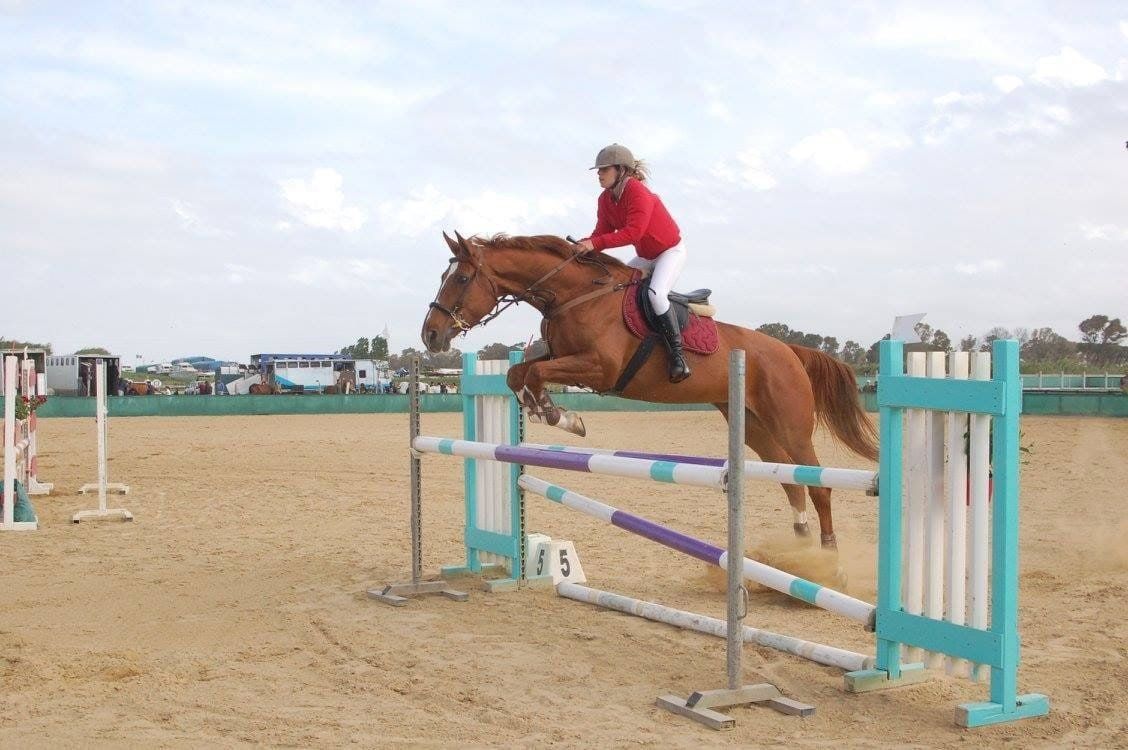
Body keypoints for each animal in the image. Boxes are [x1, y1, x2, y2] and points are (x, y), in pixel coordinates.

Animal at [420, 232, 878, 548]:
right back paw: (800, 550)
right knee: (791, 483)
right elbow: (519, 374)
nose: (431, 335)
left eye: (461, 278)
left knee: (818, 484)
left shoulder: (599, 369)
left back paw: (828, 555)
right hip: (754, 427)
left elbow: (535, 375)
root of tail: (789, 351)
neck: (574, 294)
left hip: (790, 424)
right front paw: (543, 409)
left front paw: (559, 416)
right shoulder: (561, 356)